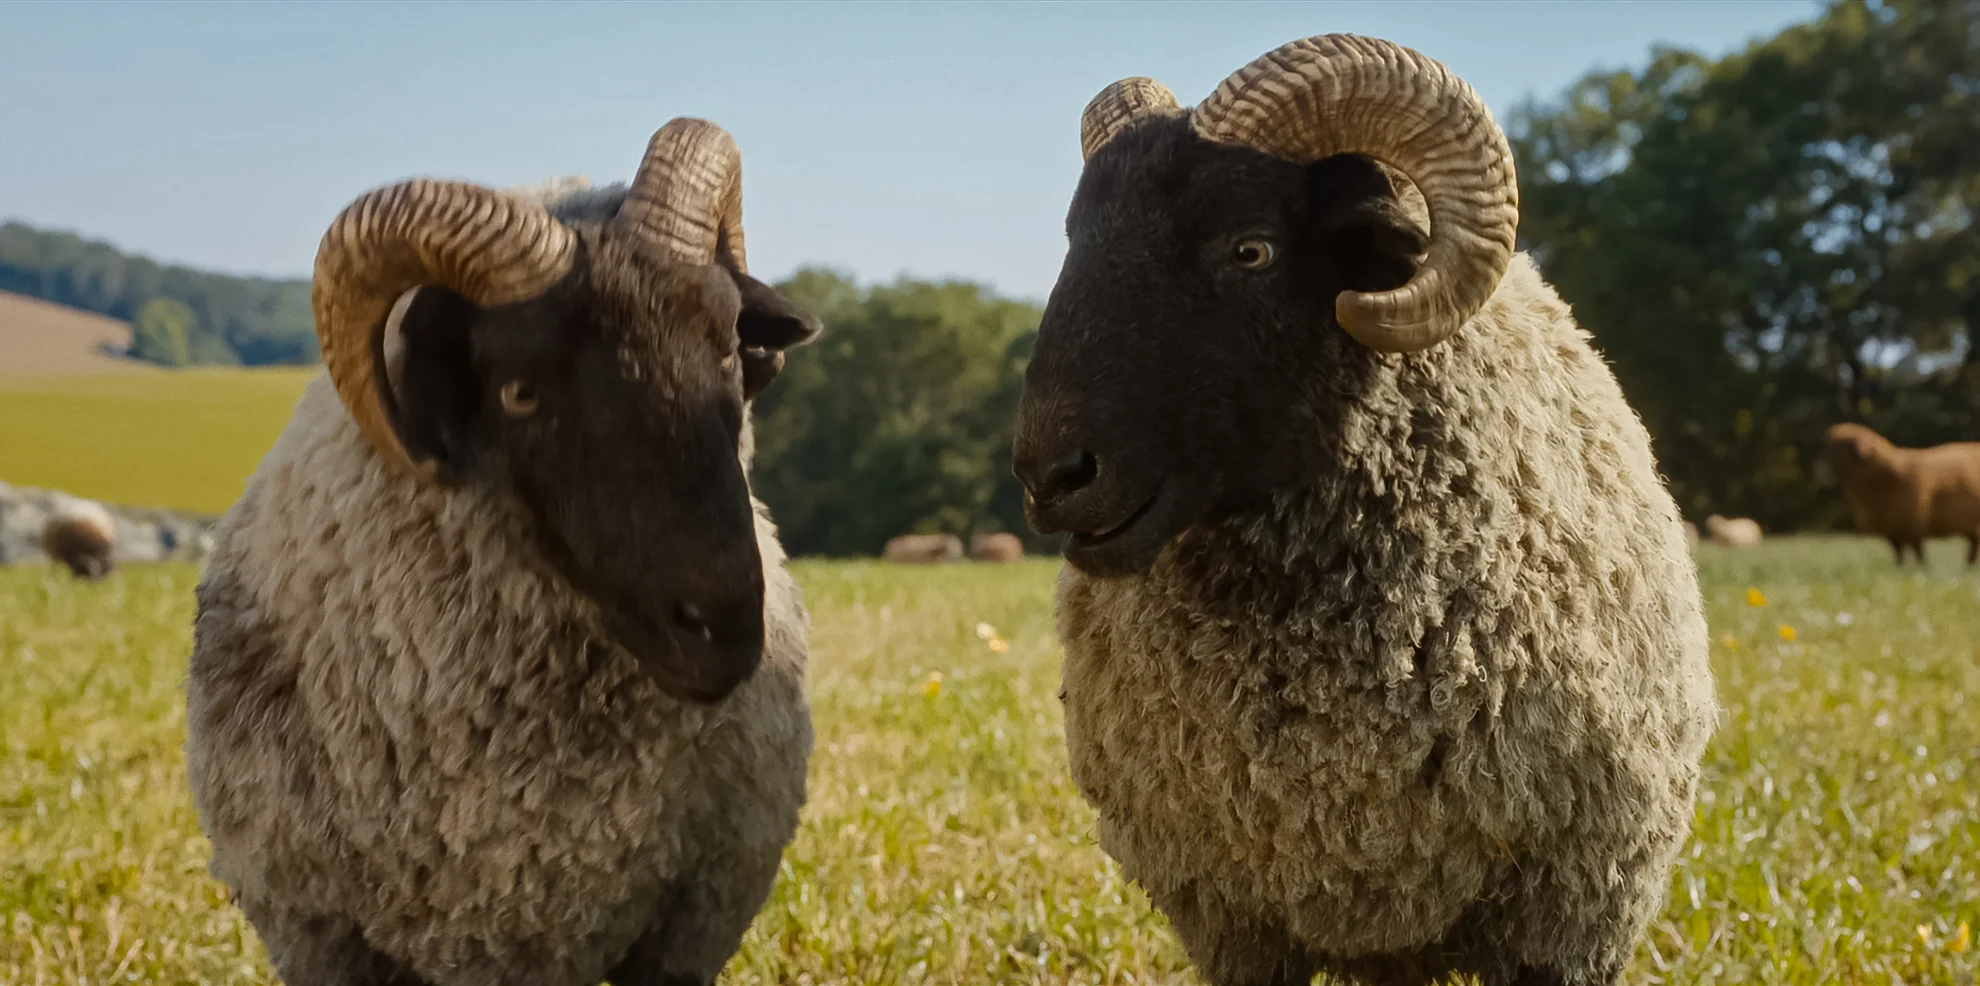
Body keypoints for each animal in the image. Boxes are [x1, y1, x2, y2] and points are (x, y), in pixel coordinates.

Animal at [1824, 421, 1980, 565]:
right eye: (1829, 447)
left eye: (1838, 449)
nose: (1822, 470)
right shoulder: (1893, 530)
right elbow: (1899, 556)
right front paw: (1899, 569)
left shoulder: (1915, 524)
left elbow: (1919, 554)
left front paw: (1921, 569)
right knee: (1973, 545)